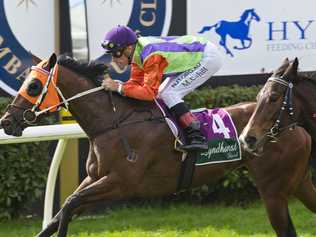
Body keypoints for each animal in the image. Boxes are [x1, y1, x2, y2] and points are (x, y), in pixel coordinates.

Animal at [0, 53, 314, 237]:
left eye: (33, 87)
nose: (6, 121)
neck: (113, 123)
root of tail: (295, 124)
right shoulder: (93, 178)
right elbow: (59, 212)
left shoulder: (121, 183)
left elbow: (68, 205)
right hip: (297, 182)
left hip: (273, 189)